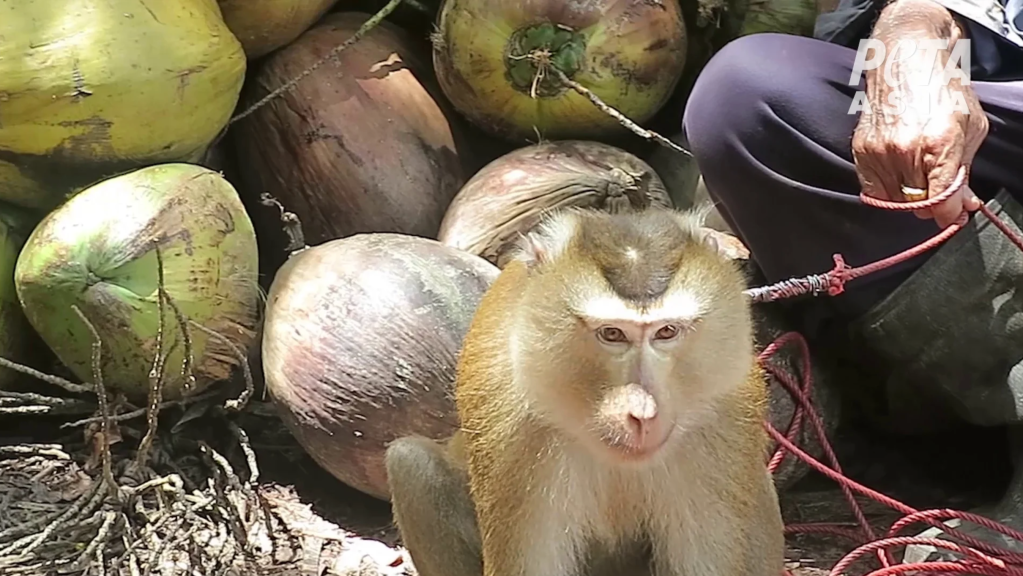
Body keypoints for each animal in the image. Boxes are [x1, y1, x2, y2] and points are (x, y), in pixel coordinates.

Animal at [386, 207, 785, 576]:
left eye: (667, 332)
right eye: (612, 334)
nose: (642, 412)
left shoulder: (722, 422)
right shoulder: (513, 433)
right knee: (410, 463)